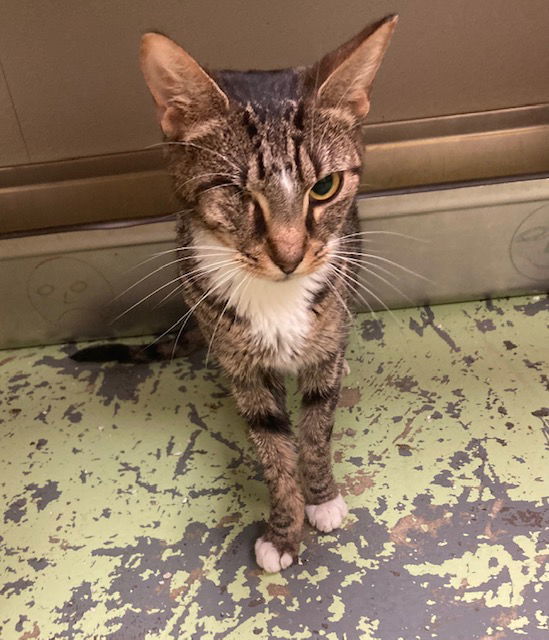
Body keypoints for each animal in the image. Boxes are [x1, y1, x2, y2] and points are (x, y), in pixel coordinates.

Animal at [139, 15, 396, 572]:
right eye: (238, 193)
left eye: (324, 186)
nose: (290, 255)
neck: (276, 298)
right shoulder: (244, 366)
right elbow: (273, 447)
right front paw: (283, 529)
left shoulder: (324, 336)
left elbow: (316, 430)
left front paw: (321, 498)